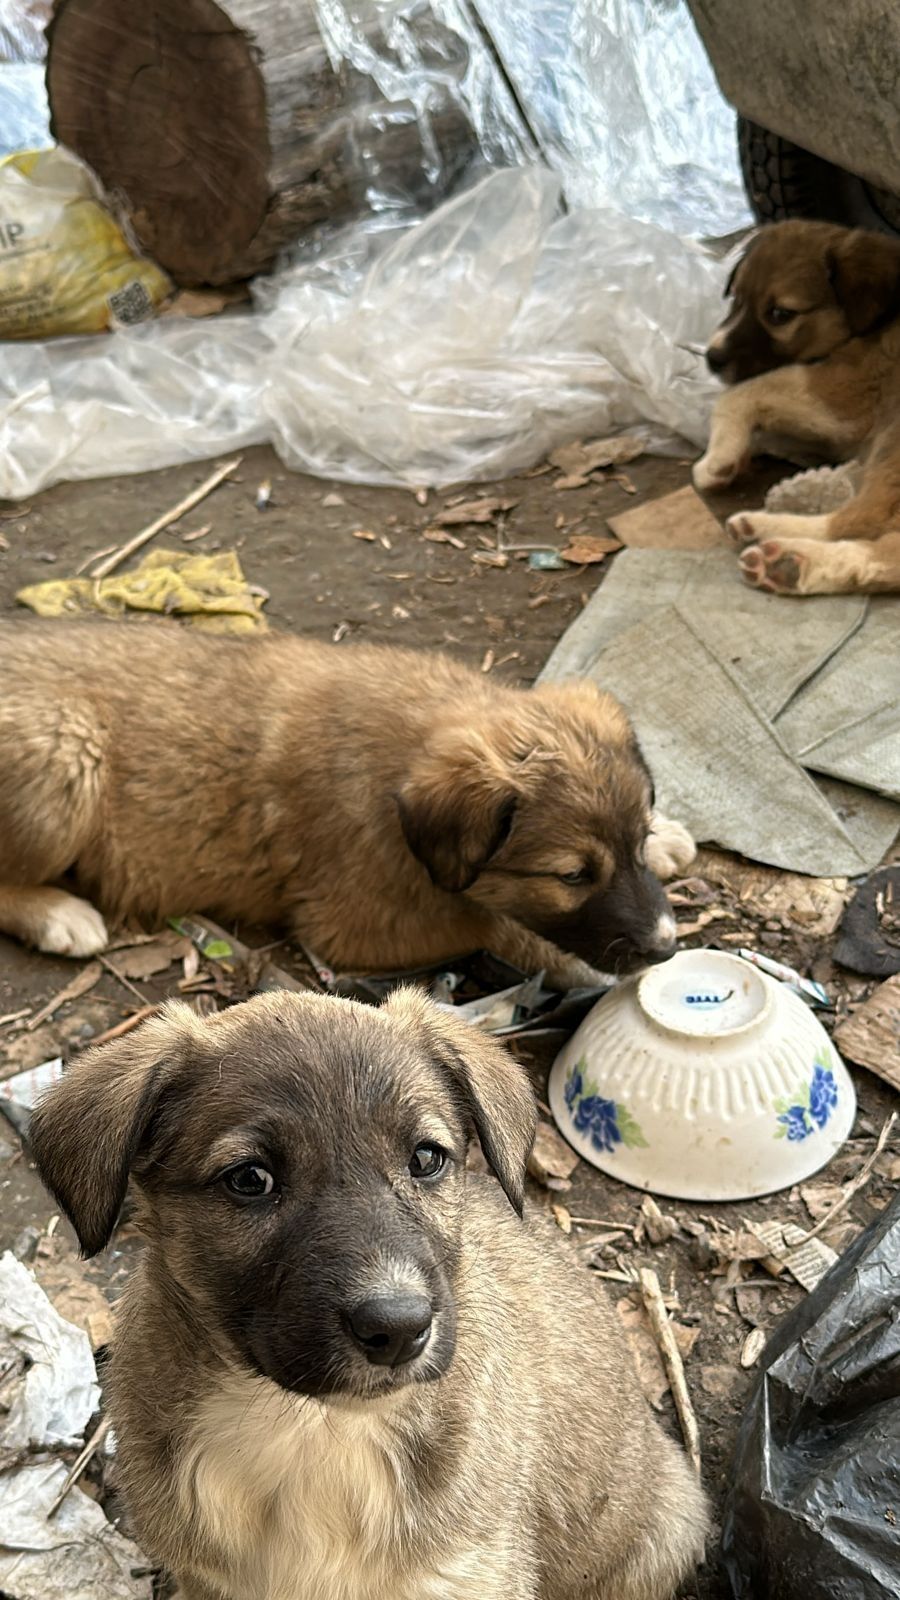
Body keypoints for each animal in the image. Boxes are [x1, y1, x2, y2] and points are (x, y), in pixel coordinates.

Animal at [0, 614, 695, 979]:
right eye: (571, 876)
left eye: (634, 845)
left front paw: (668, 837)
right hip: (66, 750)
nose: (666, 949)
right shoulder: (349, 927)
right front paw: (572, 963)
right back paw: (59, 916)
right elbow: (486, 921)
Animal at [695, 222, 900, 598]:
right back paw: (783, 558)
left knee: (864, 518)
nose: (712, 358)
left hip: (895, 442)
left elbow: (740, 393)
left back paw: (777, 543)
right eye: (737, 299)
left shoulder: (848, 390)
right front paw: (738, 453)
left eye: (780, 314)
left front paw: (716, 460)